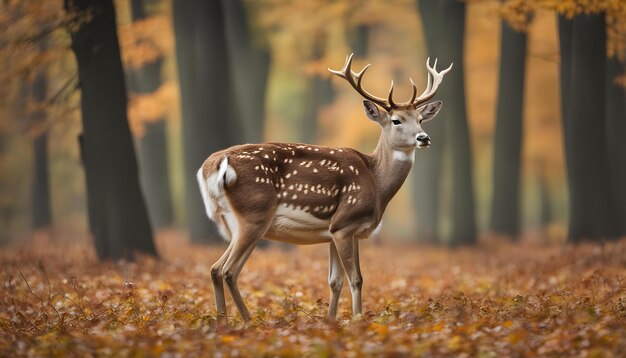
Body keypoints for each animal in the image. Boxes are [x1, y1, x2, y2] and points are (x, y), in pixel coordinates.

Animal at [197, 53, 450, 324]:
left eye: (421, 120)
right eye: (396, 120)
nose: (423, 138)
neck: (376, 181)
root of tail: (213, 165)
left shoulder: (338, 232)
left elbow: (334, 281)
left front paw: (331, 321)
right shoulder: (344, 223)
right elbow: (356, 279)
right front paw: (358, 321)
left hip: (233, 221)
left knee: (215, 269)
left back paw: (223, 321)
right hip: (254, 214)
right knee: (228, 270)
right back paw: (248, 321)